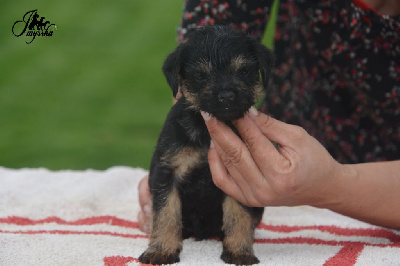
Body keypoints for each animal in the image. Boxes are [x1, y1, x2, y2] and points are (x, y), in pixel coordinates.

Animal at [139, 25, 274, 266]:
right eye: (200, 75)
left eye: (244, 71)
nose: (227, 95)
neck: (205, 133)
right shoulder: (166, 173)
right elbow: (165, 213)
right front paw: (162, 249)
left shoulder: (240, 178)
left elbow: (238, 214)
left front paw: (239, 251)